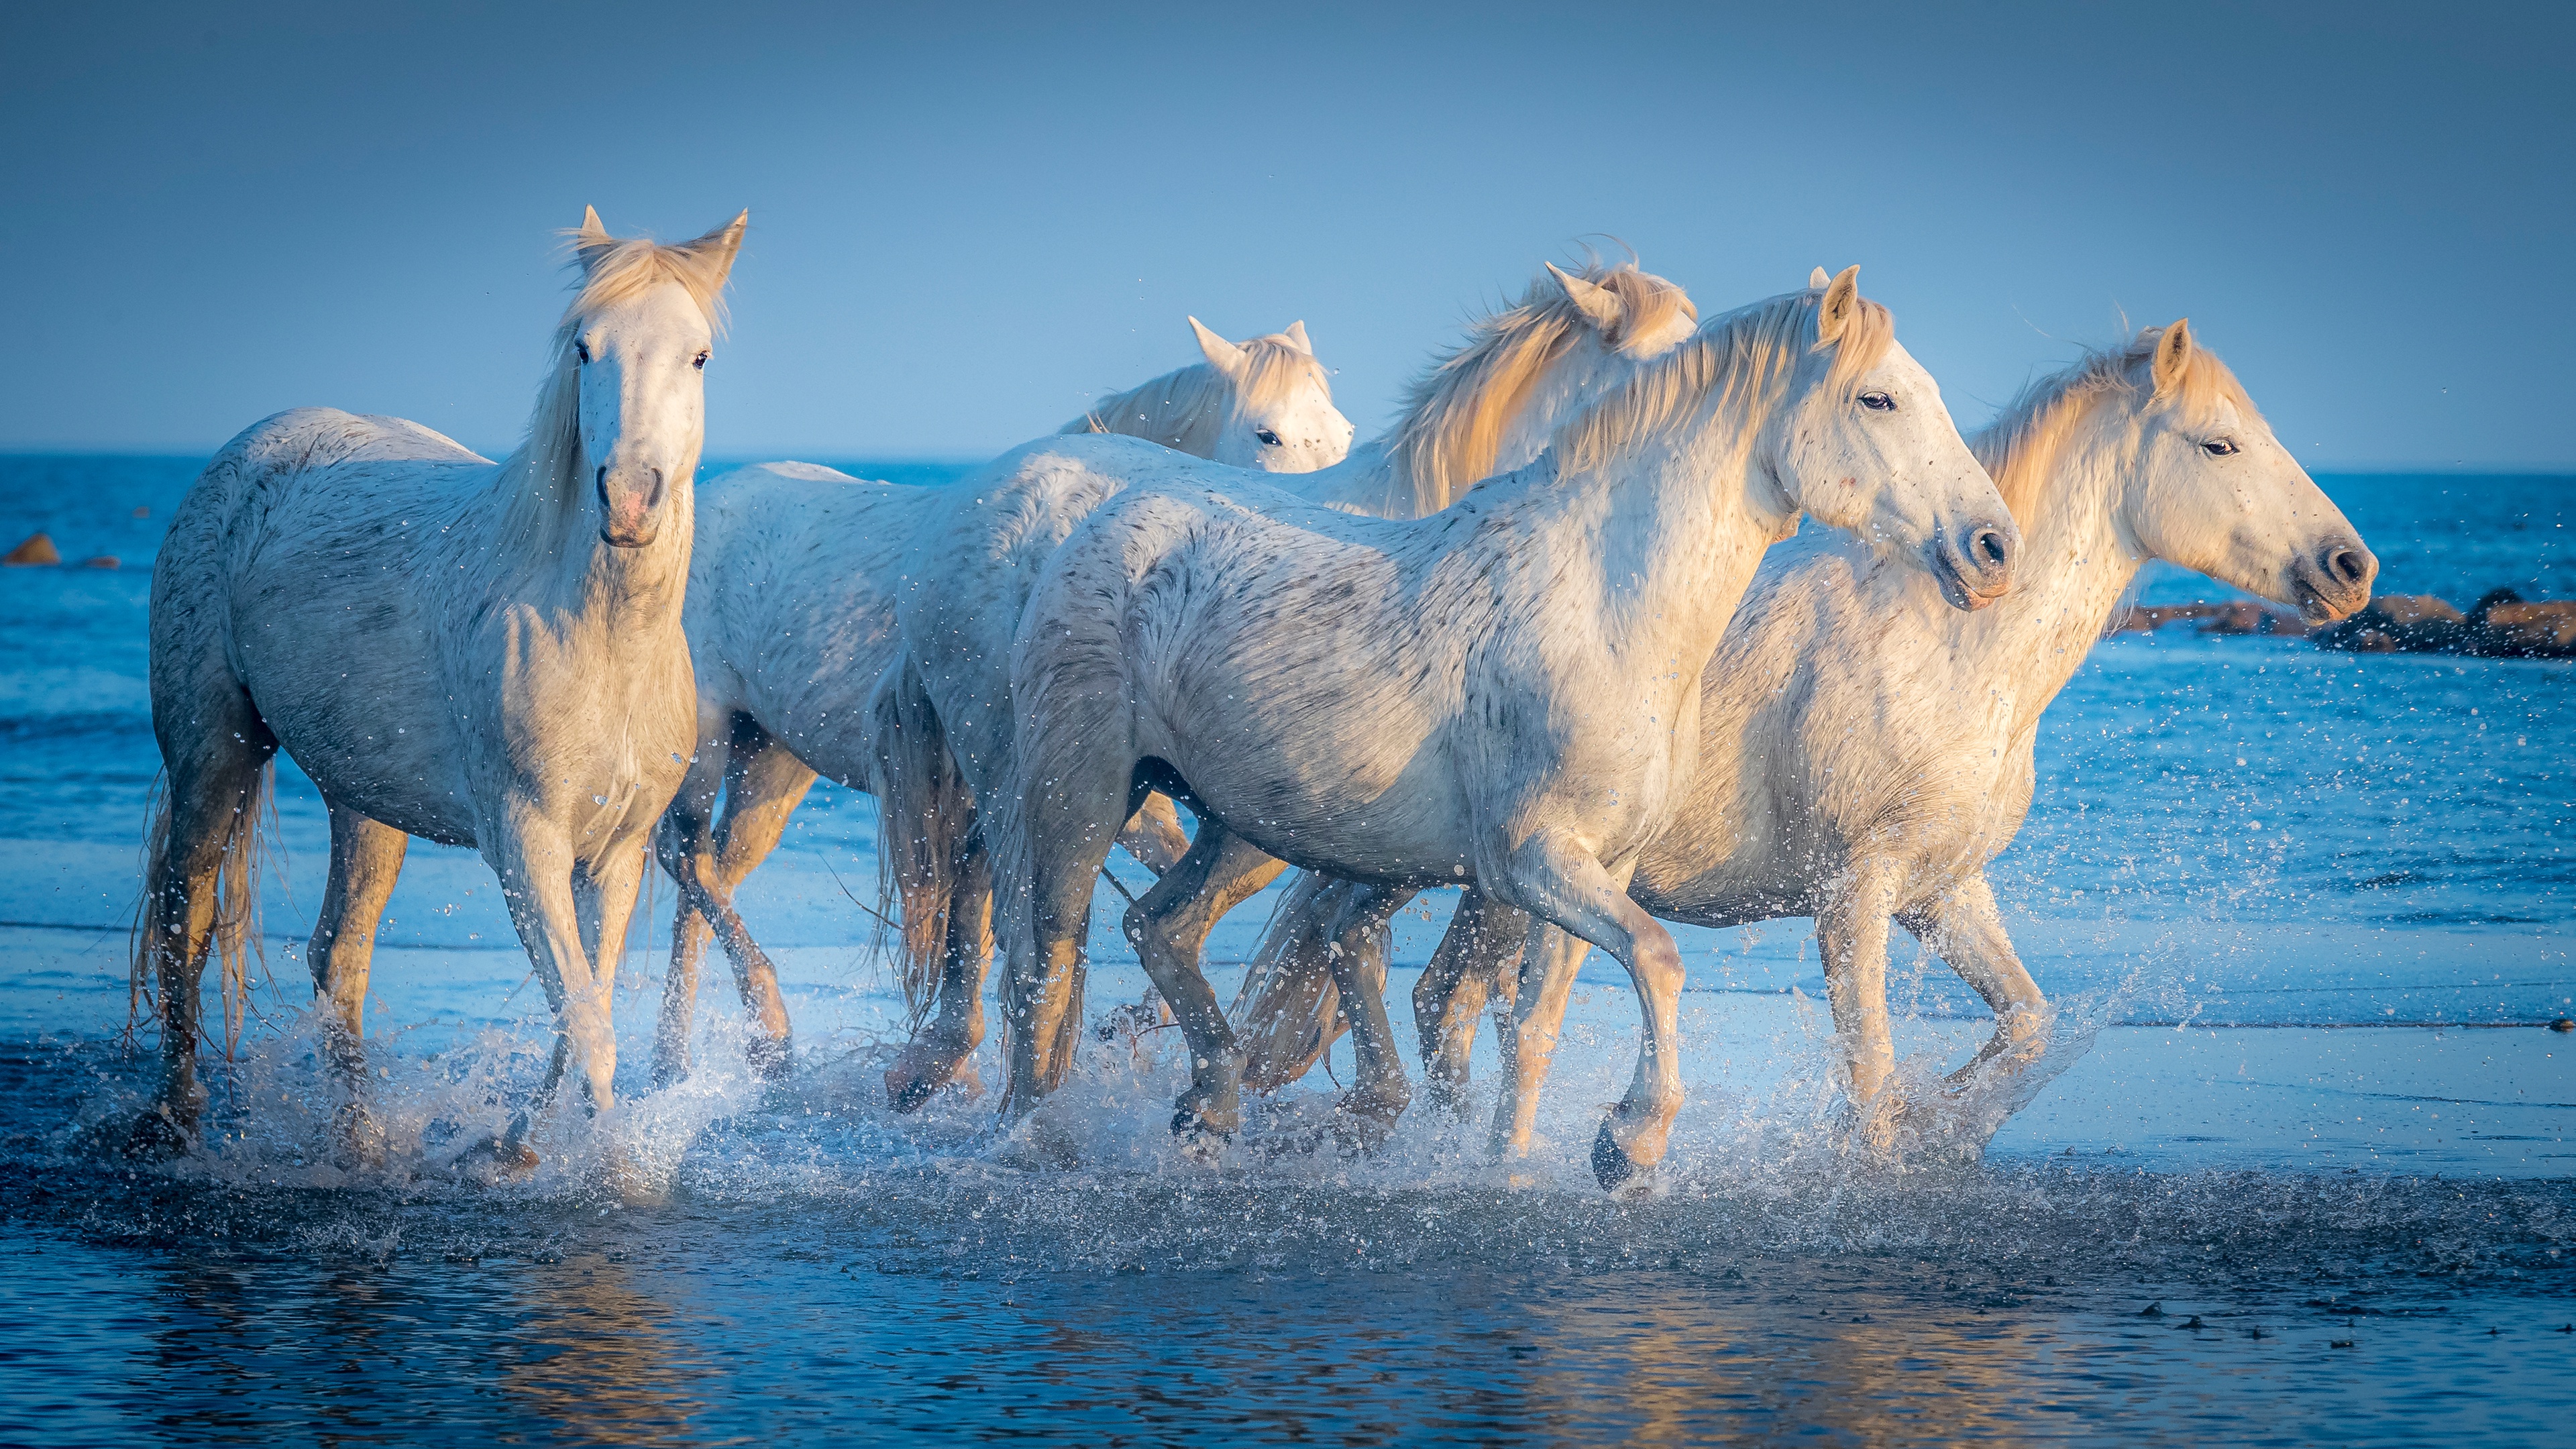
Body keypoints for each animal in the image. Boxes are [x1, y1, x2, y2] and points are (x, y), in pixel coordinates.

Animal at [124, 209, 747, 1155]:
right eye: (585, 348)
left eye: (699, 356)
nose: (631, 500)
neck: (598, 636)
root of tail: (252, 452)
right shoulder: (524, 842)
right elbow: (588, 1025)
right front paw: (602, 1166)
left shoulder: (616, 855)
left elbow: (582, 1011)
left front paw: (516, 1148)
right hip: (213, 753)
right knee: (184, 922)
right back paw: (178, 1116)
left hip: (364, 799)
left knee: (338, 959)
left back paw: (361, 1145)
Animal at [654, 318, 1360, 1083]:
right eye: (1270, 435)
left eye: (1345, 433)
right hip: (706, 741)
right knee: (683, 856)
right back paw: (761, 1034)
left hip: (773, 760)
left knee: (709, 879)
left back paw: (686, 1057)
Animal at [983, 270, 2009, 1185]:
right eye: (1878, 398)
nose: (1994, 548)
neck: (1602, 603)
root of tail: (1099, 525)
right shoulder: (1530, 860)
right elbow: (1657, 958)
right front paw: (1632, 1143)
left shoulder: (1600, 867)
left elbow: (1539, 1023)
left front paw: (1512, 1165)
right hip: (1084, 801)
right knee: (1050, 964)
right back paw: (1035, 1138)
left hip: (1243, 827)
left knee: (1158, 927)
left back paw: (1212, 1111)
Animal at [1236, 313, 2380, 1150]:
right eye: (2220, 443)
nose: (2350, 567)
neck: (1947, 652)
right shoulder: (1854, 894)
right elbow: (1869, 1062)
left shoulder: (1945, 891)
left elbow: (2028, 1026)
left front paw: (1943, 1126)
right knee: (1399, 973)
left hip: (1464, 874)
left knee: (1393, 968)